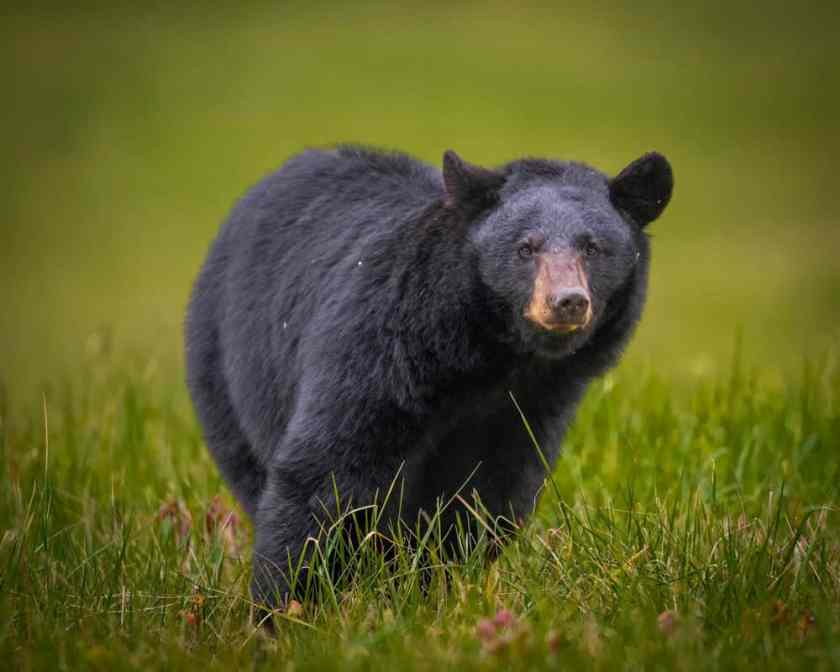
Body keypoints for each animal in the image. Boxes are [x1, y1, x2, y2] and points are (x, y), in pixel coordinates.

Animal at [184, 144, 673, 611]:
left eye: (592, 247)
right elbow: (327, 469)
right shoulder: (381, 348)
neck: (490, 357)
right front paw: (288, 604)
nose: (566, 301)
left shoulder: (532, 403)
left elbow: (486, 493)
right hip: (226, 368)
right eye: (525, 248)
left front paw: (439, 583)